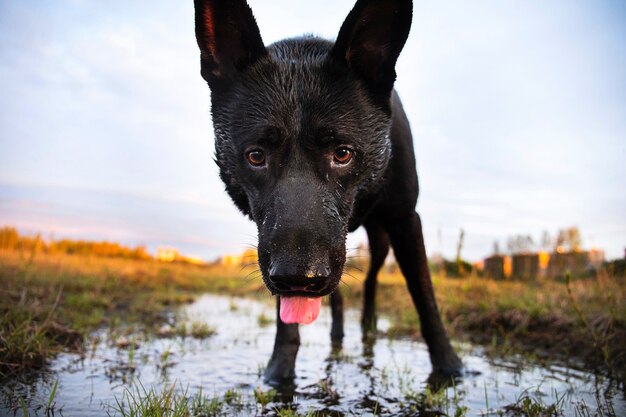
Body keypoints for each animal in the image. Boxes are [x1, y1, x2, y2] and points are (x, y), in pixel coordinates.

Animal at [193, 0, 460, 380]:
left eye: (342, 153)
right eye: (256, 156)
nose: (298, 279)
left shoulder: (406, 218)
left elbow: (425, 297)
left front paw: (451, 367)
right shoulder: (272, 241)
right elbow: (286, 319)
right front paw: (279, 373)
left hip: (379, 240)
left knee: (371, 278)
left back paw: (367, 324)